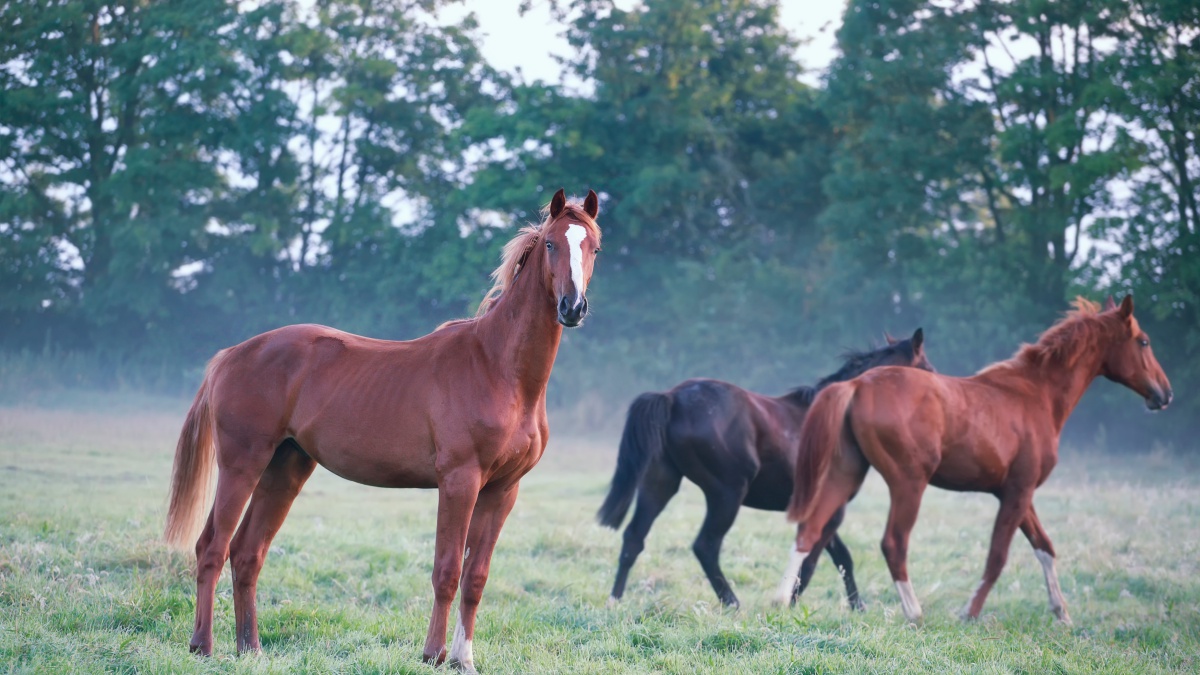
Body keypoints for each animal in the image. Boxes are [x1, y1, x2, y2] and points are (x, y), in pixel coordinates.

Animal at [162, 189, 600, 667]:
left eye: (594, 248)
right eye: (551, 244)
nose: (573, 307)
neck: (497, 367)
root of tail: (231, 355)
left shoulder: (503, 490)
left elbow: (476, 576)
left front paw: (463, 659)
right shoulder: (460, 481)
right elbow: (448, 570)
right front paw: (432, 654)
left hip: (285, 468)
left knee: (247, 553)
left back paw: (251, 648)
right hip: (243, 464)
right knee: (212, 547)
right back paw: (203, 646)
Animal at [600, 329, 936, 607]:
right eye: (928, 370)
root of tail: (671, 398)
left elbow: (841, 557)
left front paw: (856, 606)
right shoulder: (833, 509)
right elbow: (813, 562)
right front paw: (790, 603)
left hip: (660, 483)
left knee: (633, 538)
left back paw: (615, 600)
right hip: (727, 493)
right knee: (705, 546)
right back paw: (731, 602)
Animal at [787, 296, 1171, 624]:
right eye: (1144, 342)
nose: (1164, 393)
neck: (1035, 394)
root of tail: (857, 386)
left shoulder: (1017, 492)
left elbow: (1044, 547)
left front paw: (1062, 613)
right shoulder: (1018, 492)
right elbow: (997, 557)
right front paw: (969, 614)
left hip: (844, 474)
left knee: (810, 531)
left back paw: (782, 600)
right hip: (908, 483)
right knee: (893, 543)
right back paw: (915, 613)